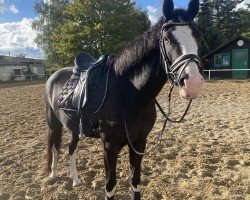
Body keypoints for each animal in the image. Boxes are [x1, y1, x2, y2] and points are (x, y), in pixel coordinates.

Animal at [45, 0, 204, 198]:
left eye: (198, 36)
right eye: (167, 39)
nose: (193, 83)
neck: (130, 93)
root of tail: (54, 75)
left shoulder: (139, 142)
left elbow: (135, 182)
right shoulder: (109, 146)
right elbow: (110, 186)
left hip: (74, 126)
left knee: (70, 148)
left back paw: (75, 179)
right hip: (54, 124)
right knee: (55, 146)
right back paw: (53, 175)